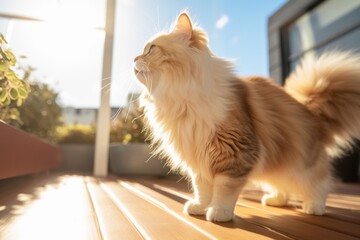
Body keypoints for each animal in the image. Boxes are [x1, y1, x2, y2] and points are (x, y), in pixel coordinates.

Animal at [134, 11, 360, 221]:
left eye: (151, 48)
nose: (134, 58)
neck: (180, 98)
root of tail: (311, 111)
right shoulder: (199, 160)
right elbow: (203, 190)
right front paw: (199, 207)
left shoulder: (234, 155)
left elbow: (224, 190)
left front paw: (219, 213)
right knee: (283, 185)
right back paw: (275, 200)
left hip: (304, 164)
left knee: (319, 183)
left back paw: (314, 206)